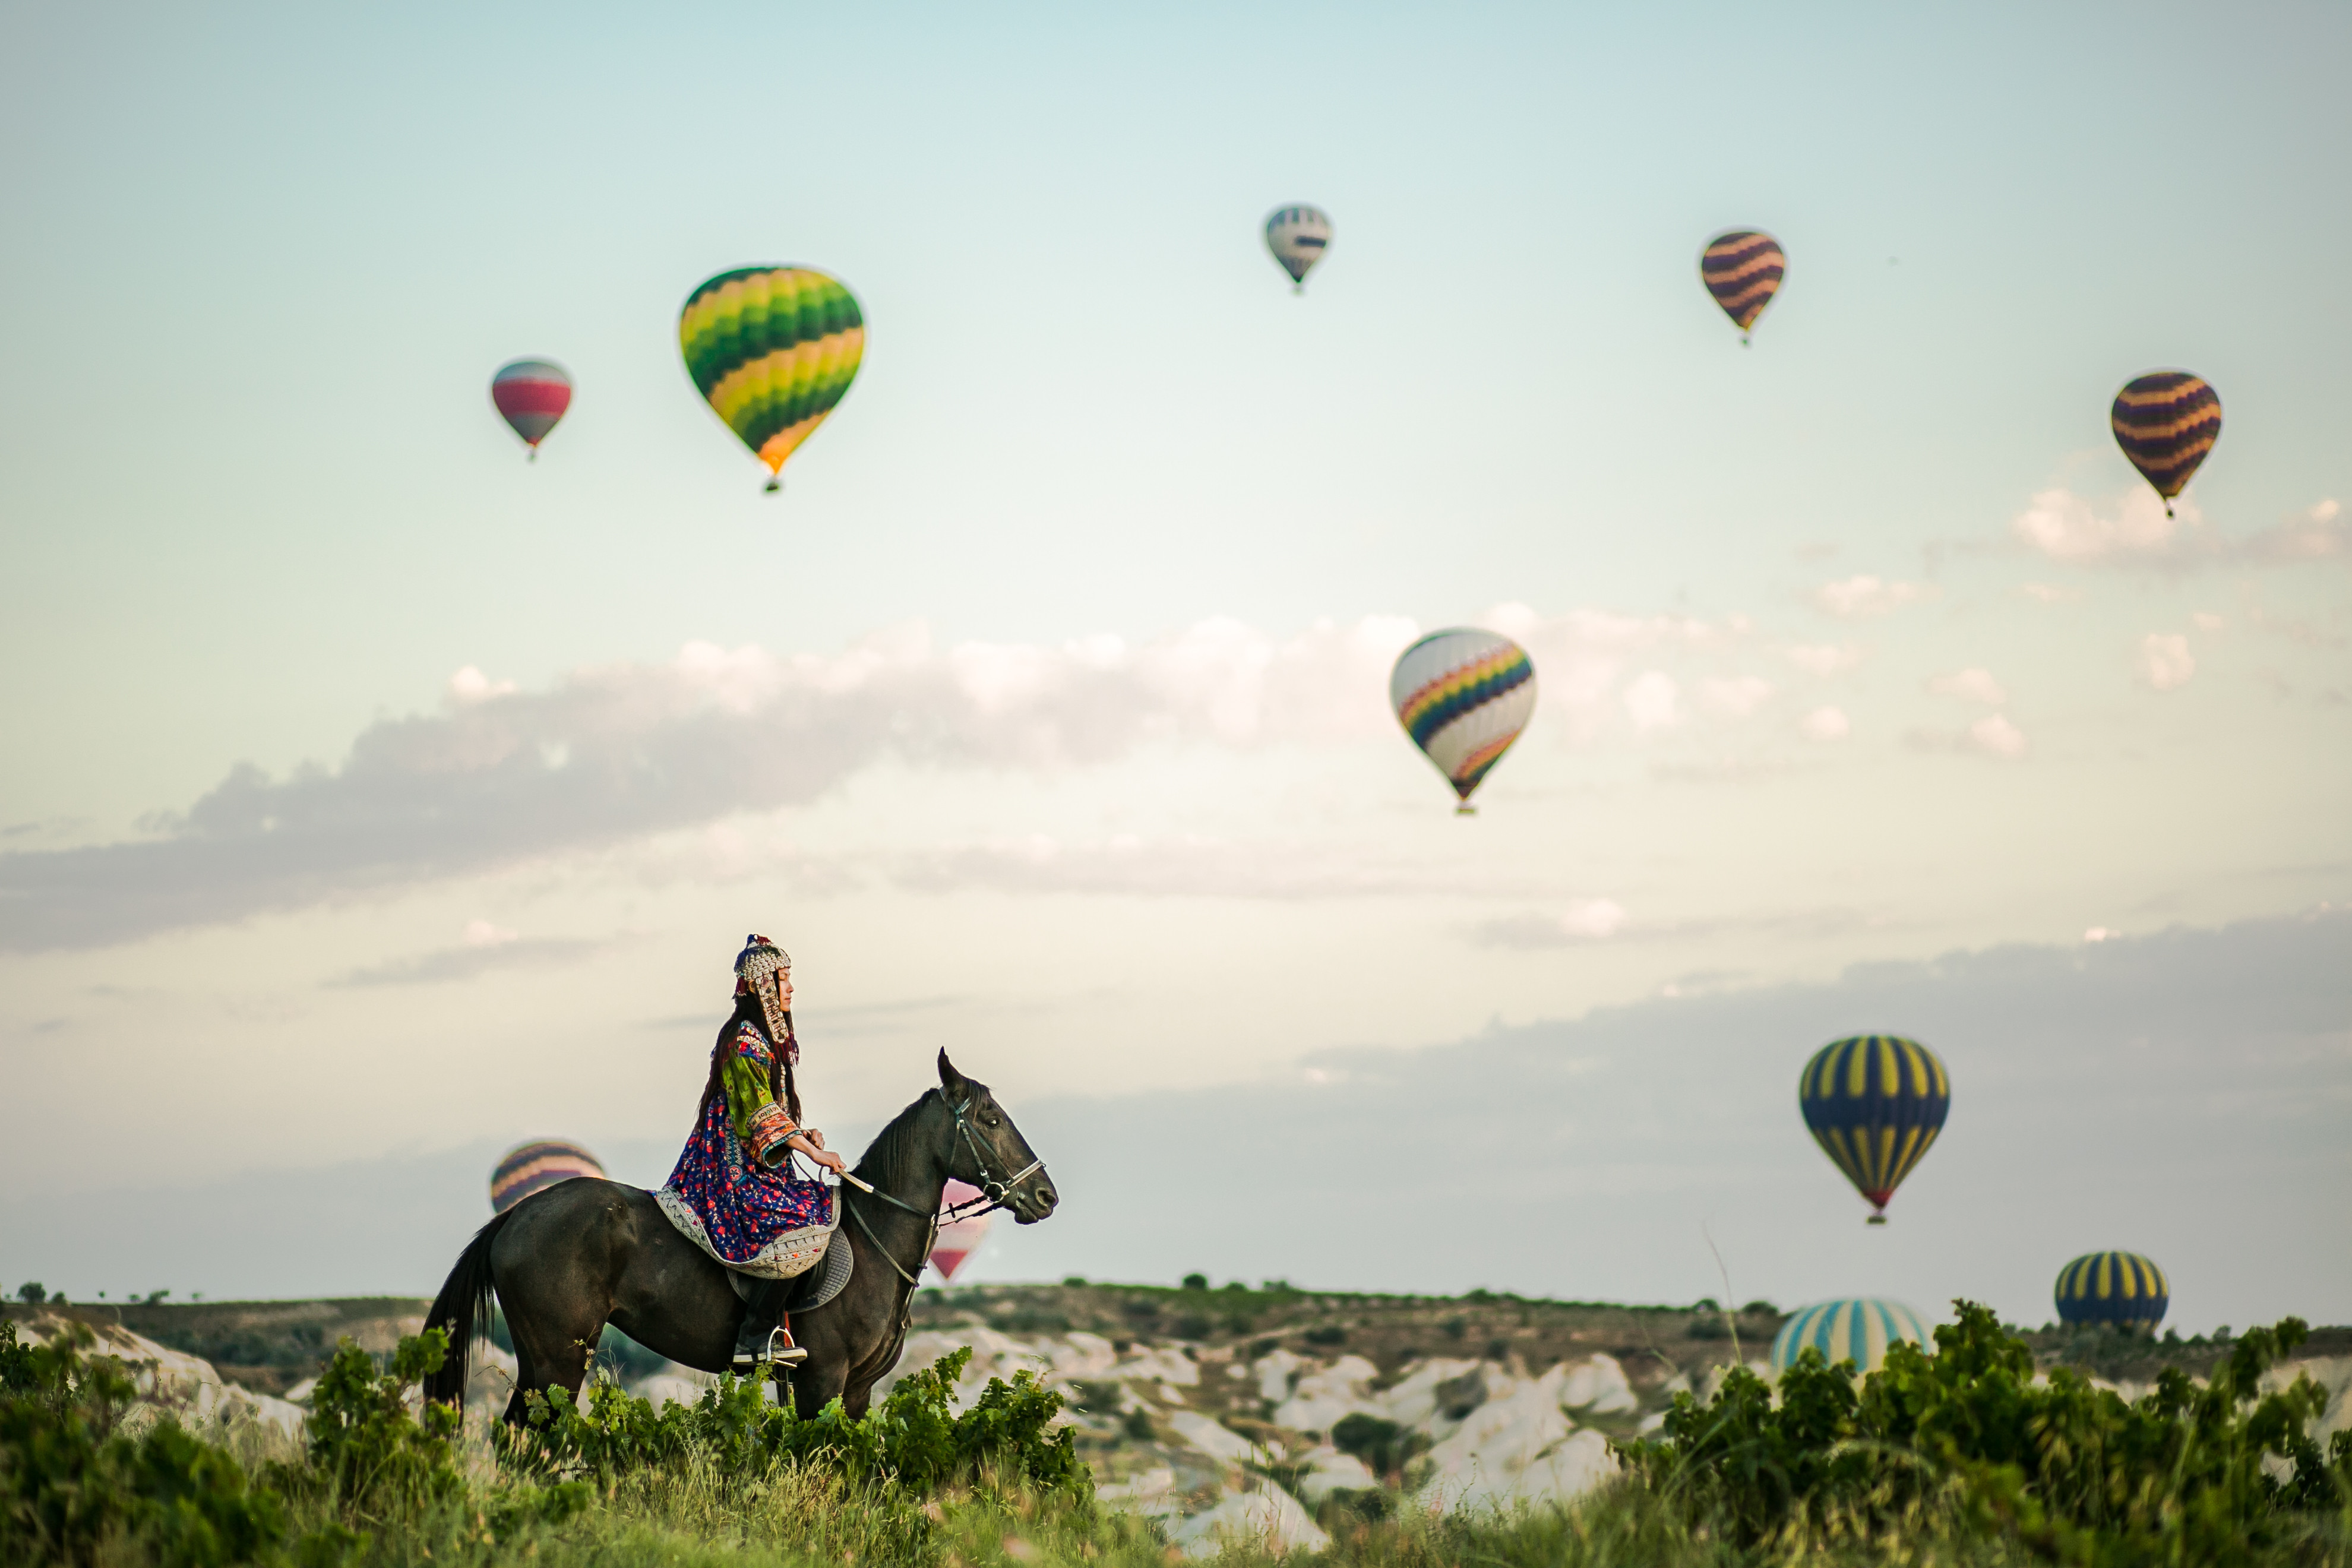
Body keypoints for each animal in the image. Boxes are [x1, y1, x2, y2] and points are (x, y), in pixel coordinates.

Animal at [423, 1053, 1058, 1420]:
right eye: (991, 1120)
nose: (1044, 1196)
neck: (877, 1245)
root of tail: (515, 1216)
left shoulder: (856, 1391)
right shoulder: (823, 1381)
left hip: (541, 1361)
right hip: (558, 1358)